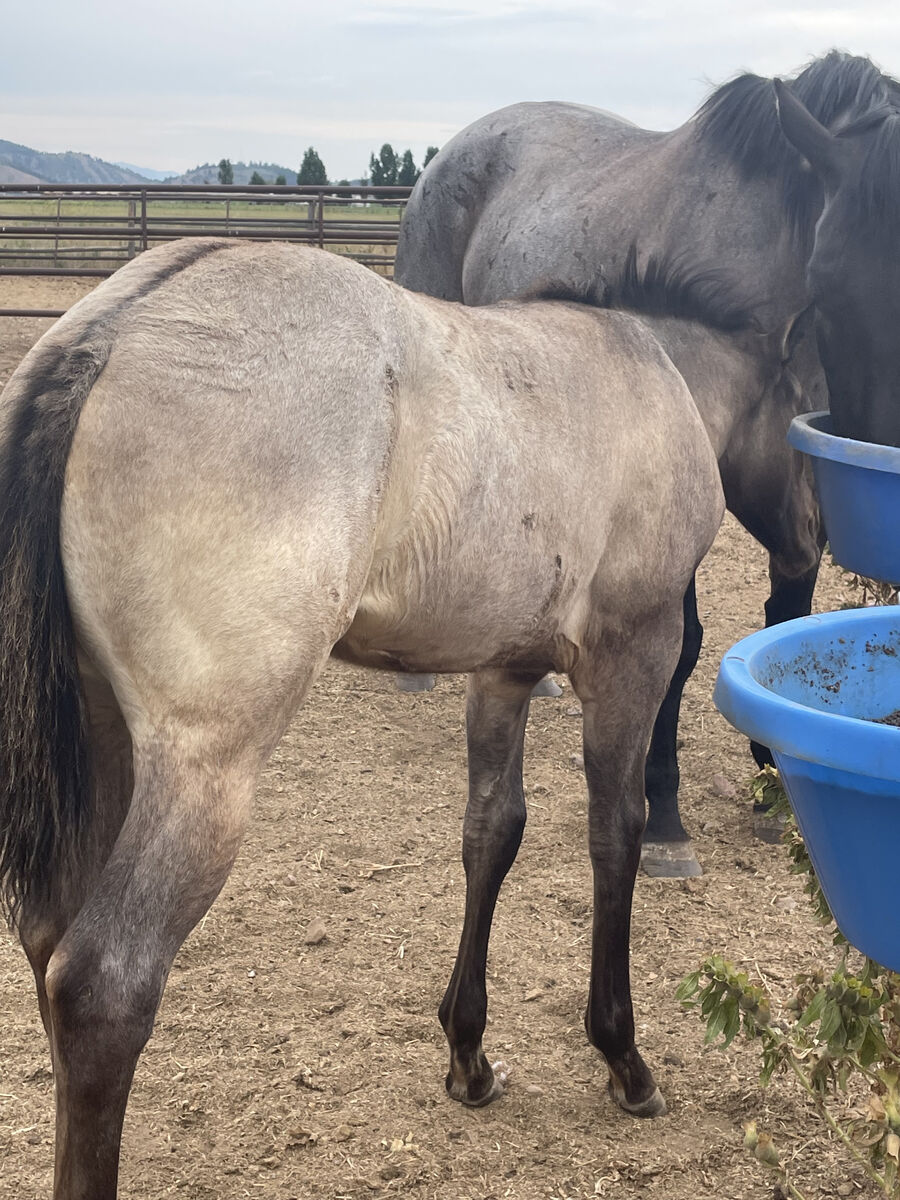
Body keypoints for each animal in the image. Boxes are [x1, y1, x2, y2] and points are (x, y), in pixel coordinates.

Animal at [0, 238, 724, 1199]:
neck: (647, 364)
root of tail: (109, 330)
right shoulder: (633, 653)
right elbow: (617, 830)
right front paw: (622, 1059)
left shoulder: (505, 669)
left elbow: (492, 831)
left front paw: (469, 1056)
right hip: (203, 773)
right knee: (101, 985)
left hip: (103, 741)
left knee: (47, 942)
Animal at [394, 50, 900, 873]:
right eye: (827, 279)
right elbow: (687, 645)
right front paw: (665, 814)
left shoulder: (799, 487)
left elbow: (788, 612)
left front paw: (776, 780)